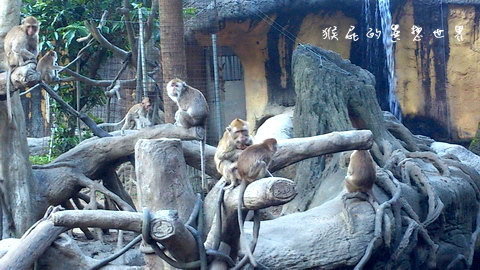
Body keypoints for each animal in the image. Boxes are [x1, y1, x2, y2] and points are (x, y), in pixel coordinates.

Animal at [235, 138, 278, 266]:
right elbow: (265, 163)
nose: (277, 147)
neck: (265, 146)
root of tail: (243, 175)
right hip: (252, 174)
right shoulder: (267, 155)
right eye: (275, 145)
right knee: (261, 163)